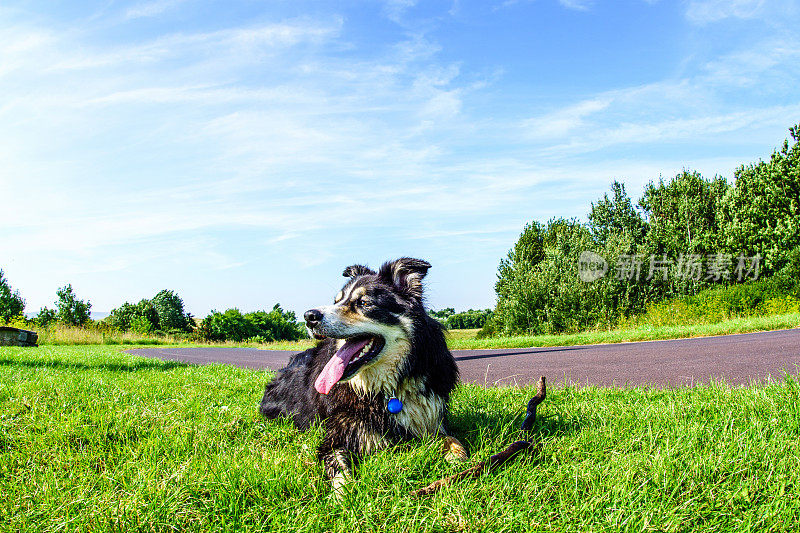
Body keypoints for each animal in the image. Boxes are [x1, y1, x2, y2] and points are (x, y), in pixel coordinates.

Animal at [260, 256, 466, 490]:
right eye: (336, 301)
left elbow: (454, 442)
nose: (308, 316)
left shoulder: (430, 420)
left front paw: (459, 462)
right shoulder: (336, 436)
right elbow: (339, 469)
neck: (387, 389)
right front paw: (345, 493)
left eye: (364, 303)